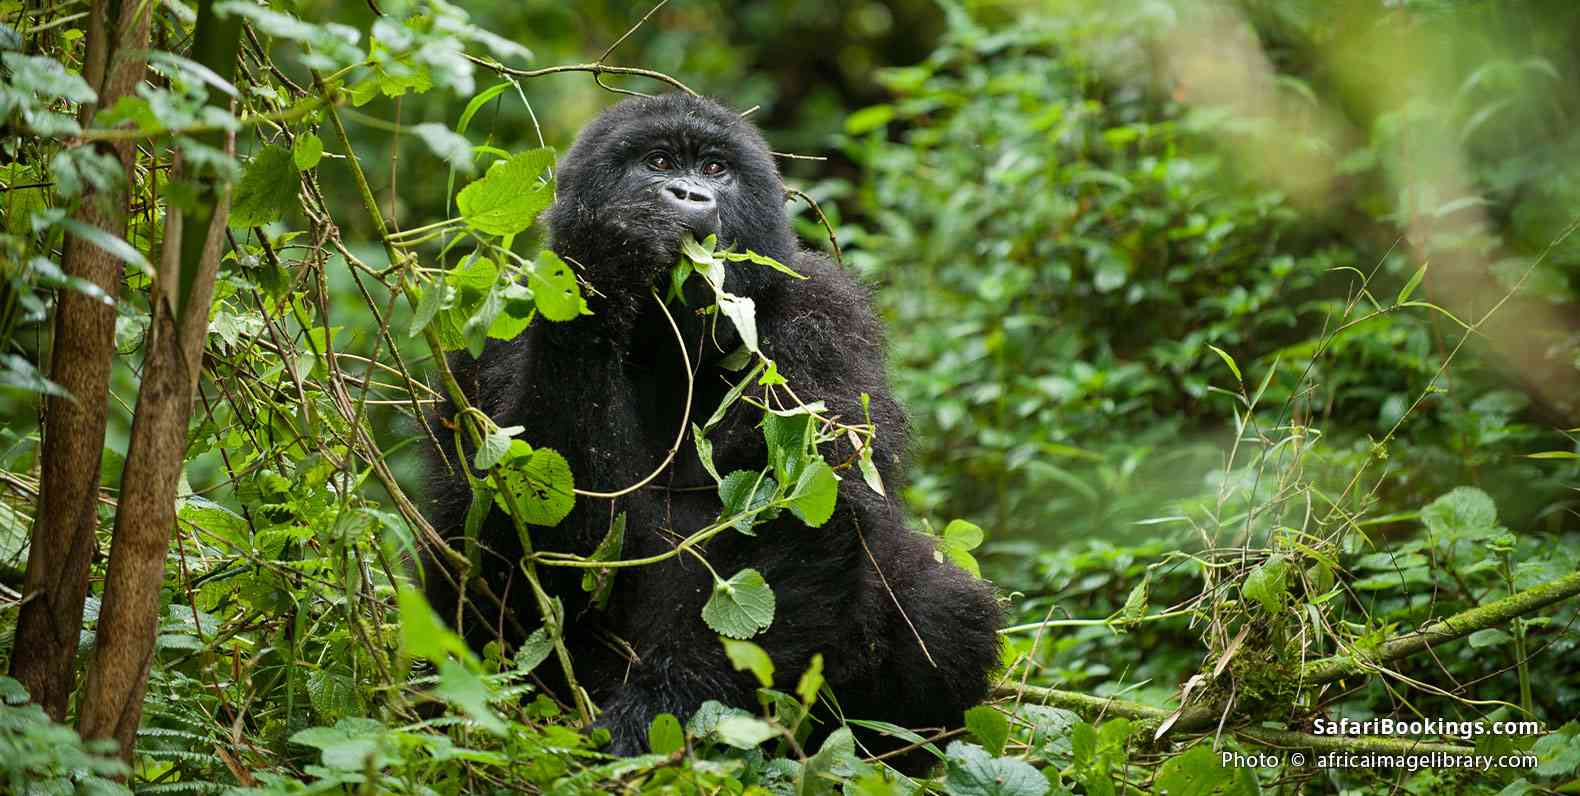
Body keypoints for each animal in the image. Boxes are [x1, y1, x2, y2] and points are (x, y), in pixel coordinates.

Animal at [423, 93, 998, 764]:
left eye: (717, 169)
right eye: (658, 161)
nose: (688, 194)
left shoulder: (820, 319)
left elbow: (803, 519)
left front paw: (659, 711)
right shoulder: (495, 337)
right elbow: (535, 535)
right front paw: (606, 260)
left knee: (943, 603)